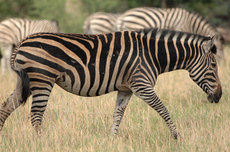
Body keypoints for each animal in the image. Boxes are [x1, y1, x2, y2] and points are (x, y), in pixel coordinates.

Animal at [0, 27, 223, 139]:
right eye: (213, 65)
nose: (220, 96)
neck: (152, 54)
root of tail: (22, 42)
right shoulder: (142, 85)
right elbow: (163, 109)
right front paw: (176, 136)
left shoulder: (126, 89)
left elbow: (118, 115)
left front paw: (112, 140)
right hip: (42, 80)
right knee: (36, 115)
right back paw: (43, 142)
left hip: (25, 81)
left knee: (7, 105)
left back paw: (2, 136)